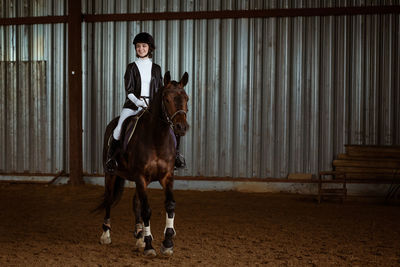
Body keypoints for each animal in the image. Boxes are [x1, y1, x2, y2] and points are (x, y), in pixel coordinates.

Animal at [97, 71, 190, 258]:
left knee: (136, 203)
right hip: (111, 174)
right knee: (109, 199)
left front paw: (167, 243)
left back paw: (139, 235)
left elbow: (169, 205)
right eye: (167, 99)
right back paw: (106, 234)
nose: (181, 127)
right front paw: (149, 245)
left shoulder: (167, 176)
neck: (157, 138)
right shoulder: (141, 177)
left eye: (187, 98)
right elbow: (147, 210)